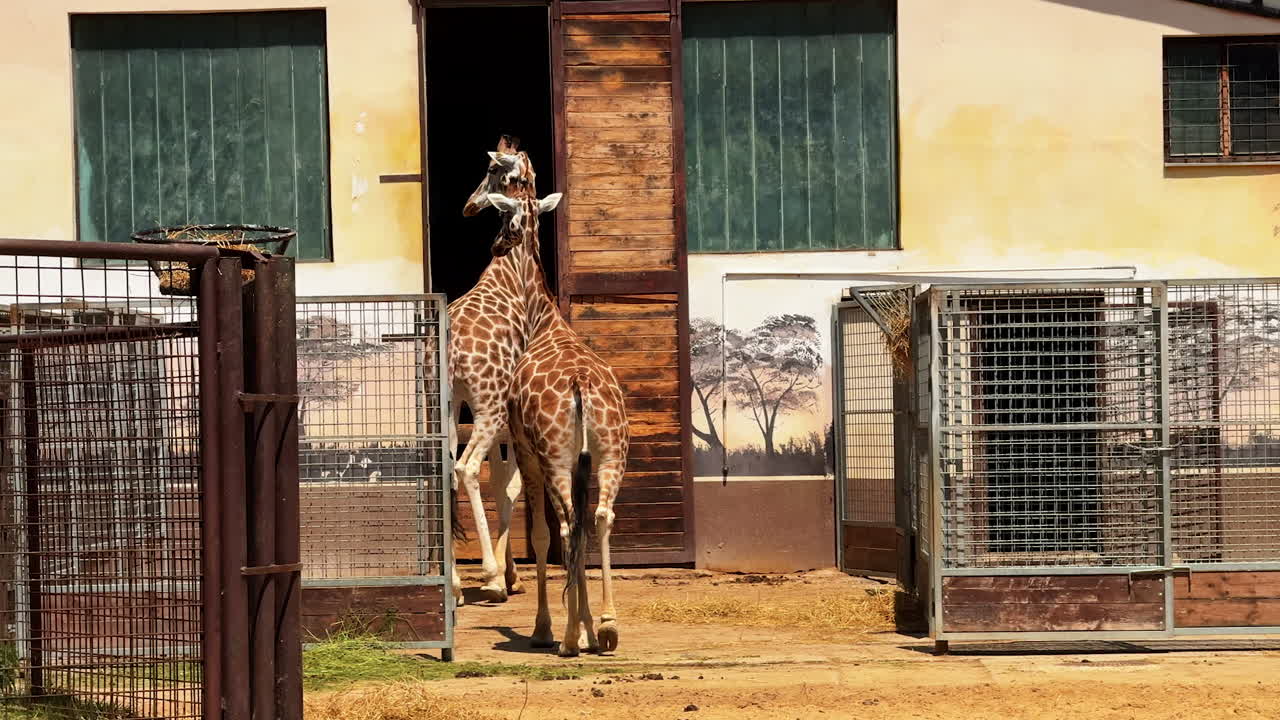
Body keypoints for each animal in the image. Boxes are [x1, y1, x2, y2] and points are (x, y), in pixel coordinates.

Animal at [480, 185, 629, 657]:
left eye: (503, 217)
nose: (496, 246)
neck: (542, 320)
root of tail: (581, 385)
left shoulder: (528, 452)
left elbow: (543, 535)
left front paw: (547, 628)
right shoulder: (584, 462)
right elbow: (583, 530)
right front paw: (589, 628)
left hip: (554, 457)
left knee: (564, 527)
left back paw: (563, 639)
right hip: (611, 454)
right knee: (599, 517)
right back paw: (608, 627)